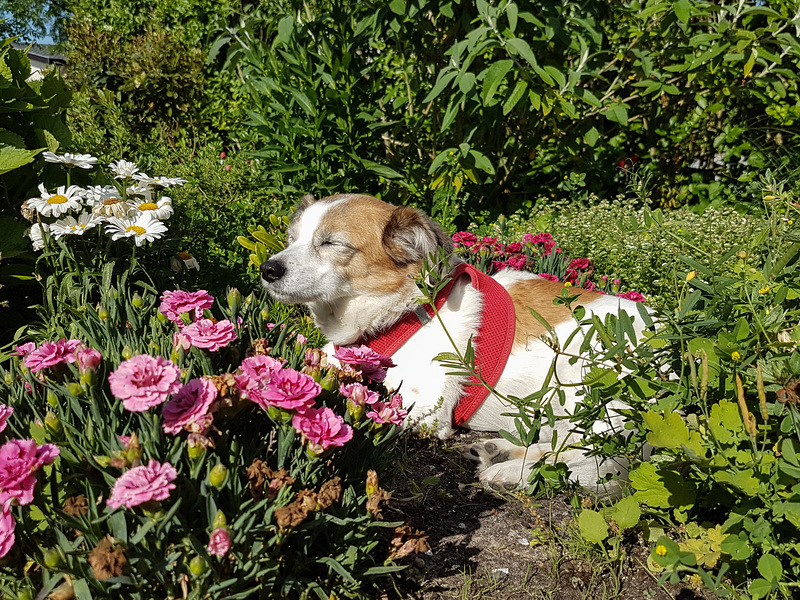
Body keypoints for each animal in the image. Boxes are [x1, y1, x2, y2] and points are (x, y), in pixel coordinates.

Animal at [260, 193, 648, 496]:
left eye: (332, 243)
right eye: (292, 238)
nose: (268, 269)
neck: (403, 313)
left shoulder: (425, 410)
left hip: (587, 378)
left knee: (605, 465)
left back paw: (513, 473)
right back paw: (499, 451)